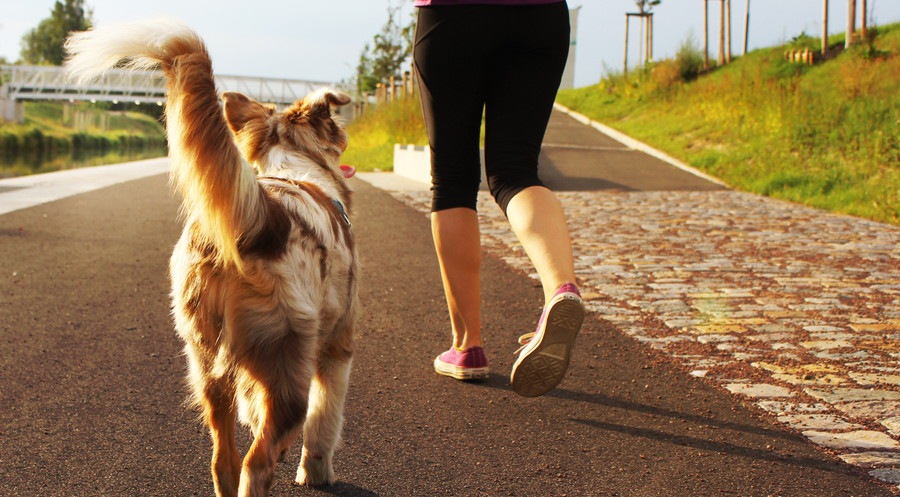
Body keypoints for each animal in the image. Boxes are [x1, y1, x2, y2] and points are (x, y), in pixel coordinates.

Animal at [66, 19, 358, 496]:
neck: (295, 169)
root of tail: (260, 219)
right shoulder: (337, 346)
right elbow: (324, 422)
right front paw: (316, 473)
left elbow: (253, 412)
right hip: (288, 361)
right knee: (258, 459)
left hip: (204, 357)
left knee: (223, 457)